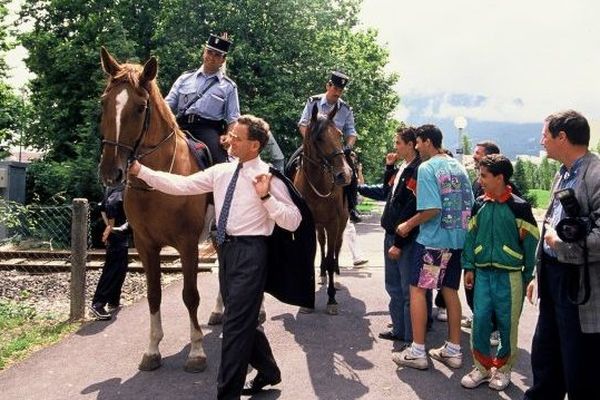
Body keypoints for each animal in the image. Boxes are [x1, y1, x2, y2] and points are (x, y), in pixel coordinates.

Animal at [98, 48, 209, 374]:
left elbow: (190, 295)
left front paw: (196, 351)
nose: (111, 172)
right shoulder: (146, 246)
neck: (158, 183)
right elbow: (153, 295)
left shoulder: (188, 244)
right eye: (103, 102)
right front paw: (152, 350)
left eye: (139, 108)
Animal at [294, 104, 352, 316]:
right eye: (319, 138)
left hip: (340, 224)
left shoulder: (333, 224)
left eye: (339, 134)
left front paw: (332, 299)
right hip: (319, 226)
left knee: (335, 248)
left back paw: (335, 272)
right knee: (322, 243)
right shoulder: (307, 225)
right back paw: (322, 274)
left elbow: (329, 256)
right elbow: (311, 255)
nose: (345, 174)